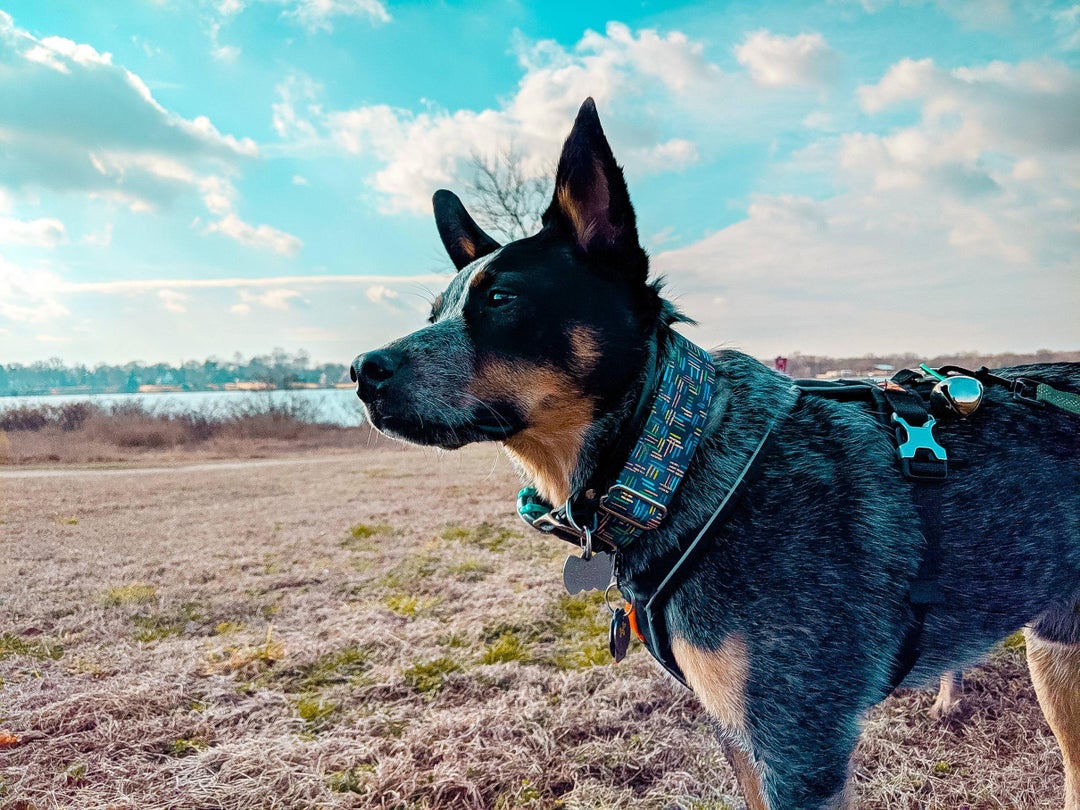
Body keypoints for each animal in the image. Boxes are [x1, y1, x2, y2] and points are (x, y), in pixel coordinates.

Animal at [352, 98, 1080, 807]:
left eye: (502, 298)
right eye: (435, 313)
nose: (361, 370)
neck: (675, 461)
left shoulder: (801, 747)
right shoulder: (740, 734)